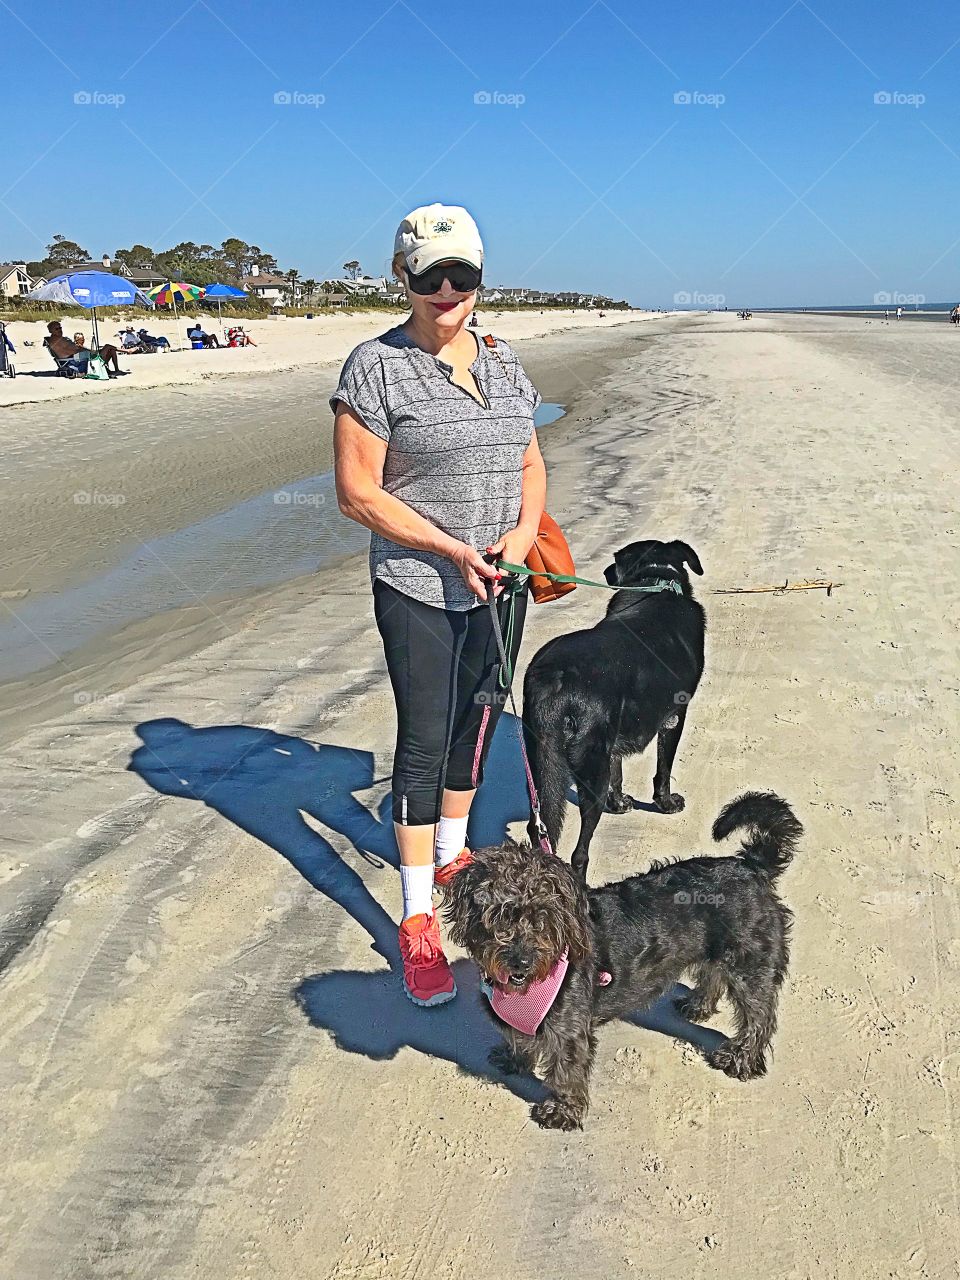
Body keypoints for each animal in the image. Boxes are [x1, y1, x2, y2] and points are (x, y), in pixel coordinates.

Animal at [442, 788, 803, 1131]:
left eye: (543, 916)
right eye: (498, 916)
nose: (521, 961)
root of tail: (750, 866)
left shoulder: (569, 1032)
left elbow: (566, 1072)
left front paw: (562, 1112)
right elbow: (518, 1038)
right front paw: (515, 1059)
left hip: (749, 965)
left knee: (759, 1016)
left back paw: (741, 1058)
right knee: (713, 974)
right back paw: (698, 1006)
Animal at [527, 537, 706, 880]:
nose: (607, 571)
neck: (656, 581)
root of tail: (555, 678)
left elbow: (618, 770)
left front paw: (620, 802)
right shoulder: (674, 716)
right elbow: (663, 769)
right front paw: (666, 803)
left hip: (541, 762)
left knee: (537, 828)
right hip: (589, 768)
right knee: (579, 854)